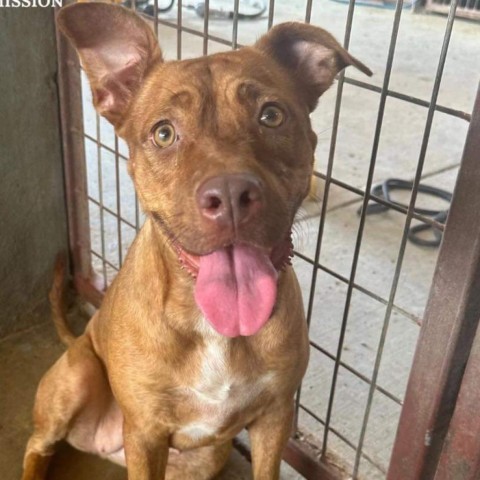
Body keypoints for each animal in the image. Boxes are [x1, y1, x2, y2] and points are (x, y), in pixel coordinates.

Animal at [22, 4, 372, 480]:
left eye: (271, 115)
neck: (213, 328)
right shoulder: (146, 432)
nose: (229, 195)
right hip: (75, 383)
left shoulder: (275, 418)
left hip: (205, 458)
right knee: (37, 444)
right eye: (164, 133)